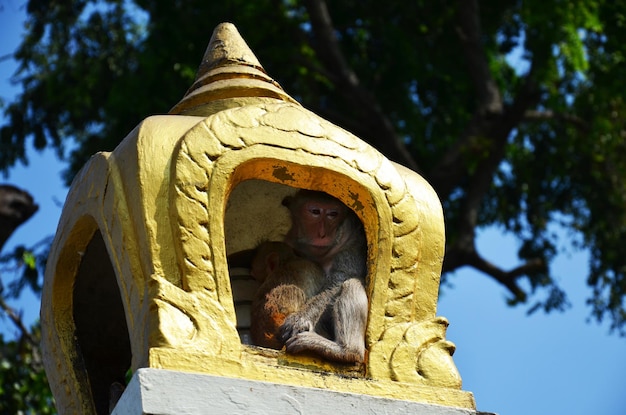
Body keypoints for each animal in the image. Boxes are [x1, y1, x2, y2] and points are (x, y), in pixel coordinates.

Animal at [276, 190, 366, 366]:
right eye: (315, 212)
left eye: (333, 214)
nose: (322, 234)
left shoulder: (352, 242)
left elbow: (338, 281)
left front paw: (301, 317)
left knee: (352, 284)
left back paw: (347, 351)